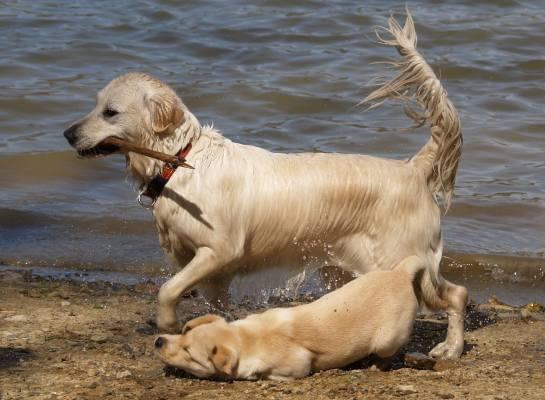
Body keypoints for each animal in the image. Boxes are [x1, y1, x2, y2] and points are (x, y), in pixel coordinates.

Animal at [154, 255, 438, 380]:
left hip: (388, 339)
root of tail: (401, 272)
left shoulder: (298, 367)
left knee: (390, 352)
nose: (158, 341)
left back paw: (376, 365)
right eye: (184, 332)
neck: (245, 338)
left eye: (189, 353)